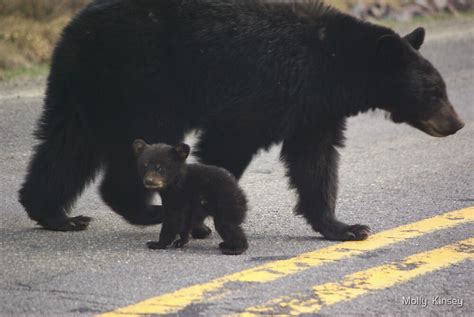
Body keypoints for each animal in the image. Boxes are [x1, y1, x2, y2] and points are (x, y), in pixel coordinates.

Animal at [18, 0, 462, 239]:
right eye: (434, 91)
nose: (456, 123)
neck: (332, 65)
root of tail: (79, 22)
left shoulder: (313, 111)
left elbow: (315, 163)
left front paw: (344, 227)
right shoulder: (265, 90)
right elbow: (227, 145)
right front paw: (199, 220)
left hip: (88, 84)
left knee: (68, 142)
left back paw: (60, 214)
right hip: (141, 79)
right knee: (122, 139)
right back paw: (136, 210)